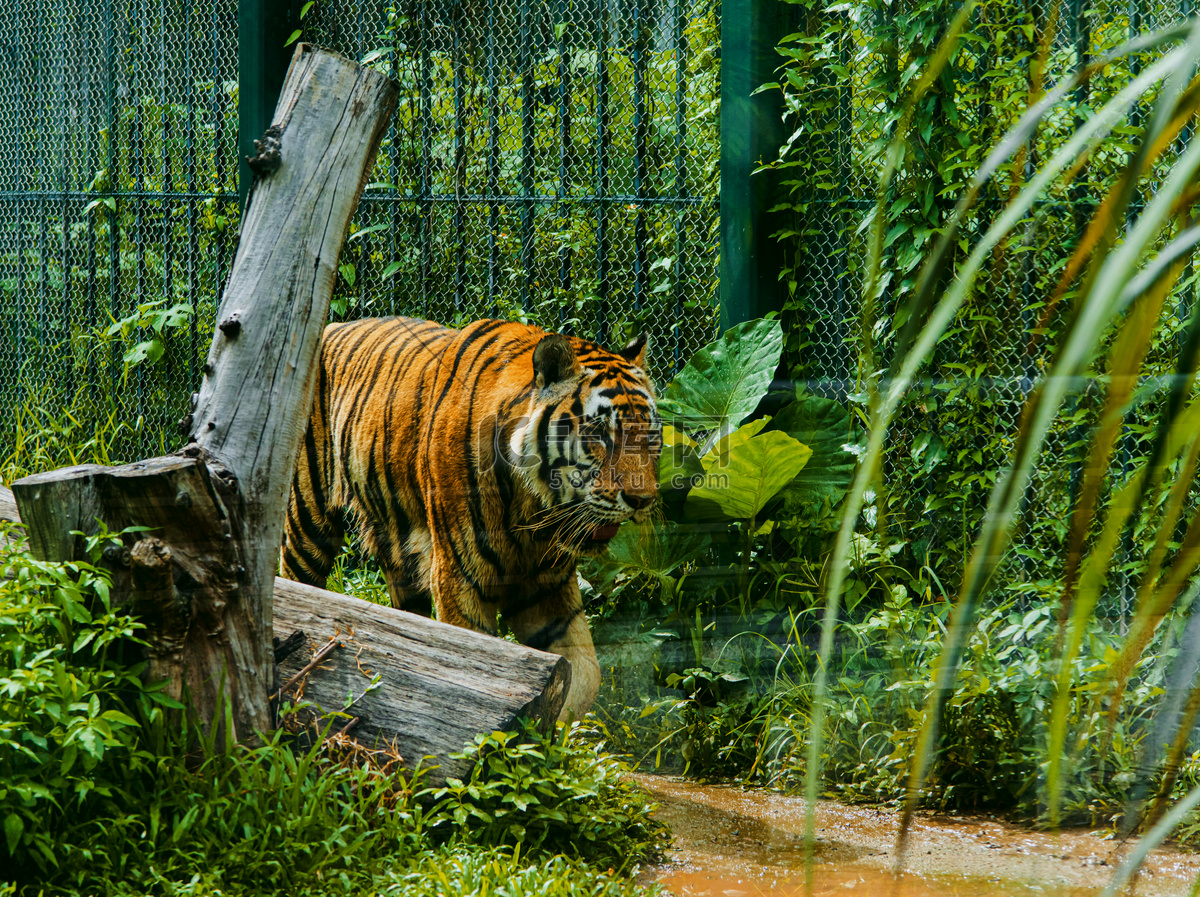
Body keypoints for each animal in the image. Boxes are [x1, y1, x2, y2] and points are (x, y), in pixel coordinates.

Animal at [279, 316, 662, 719]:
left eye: (651, 434)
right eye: (599, 434)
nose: (643, 500)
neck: (533, 511)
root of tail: (332, 325)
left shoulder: (550, 586)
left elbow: (584, 677)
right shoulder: (459, 580)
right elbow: (476, 664)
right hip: (307, 523)